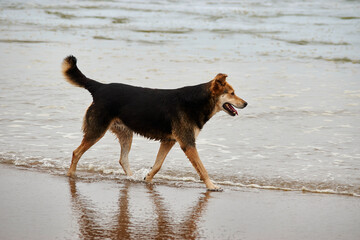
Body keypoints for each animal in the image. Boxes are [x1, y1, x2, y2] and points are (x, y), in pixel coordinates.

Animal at [62, 55, 248, 190]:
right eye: (232, 93)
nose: (246, 103)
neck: (197, 102)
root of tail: (99, 87)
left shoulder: (168, 141)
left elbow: (158, 165)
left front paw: (147, 178)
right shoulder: (188, 143)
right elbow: (202, 169)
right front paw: (211, 186)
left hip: (125, 134)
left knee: (123, 159)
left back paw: (131, 178)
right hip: (97, 131)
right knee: (76, 153)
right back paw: (71, 176)